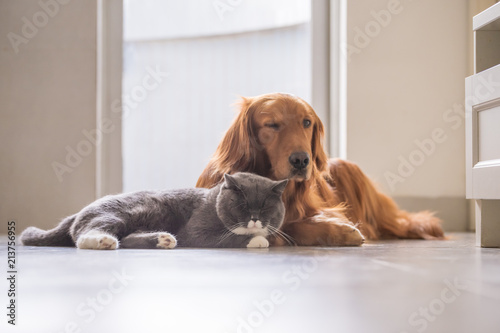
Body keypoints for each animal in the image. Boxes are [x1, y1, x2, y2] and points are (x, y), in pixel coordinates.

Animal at [20, 172, 290, 248]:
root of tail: (78, 212)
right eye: (242, 206)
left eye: (265, 207)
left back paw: (163, 239)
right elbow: (226, 238)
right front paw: (257, 240)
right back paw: (103, 242)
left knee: (129, 238)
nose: (254, 219)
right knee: (85, 233)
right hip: (117, 213)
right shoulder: (197, 230)